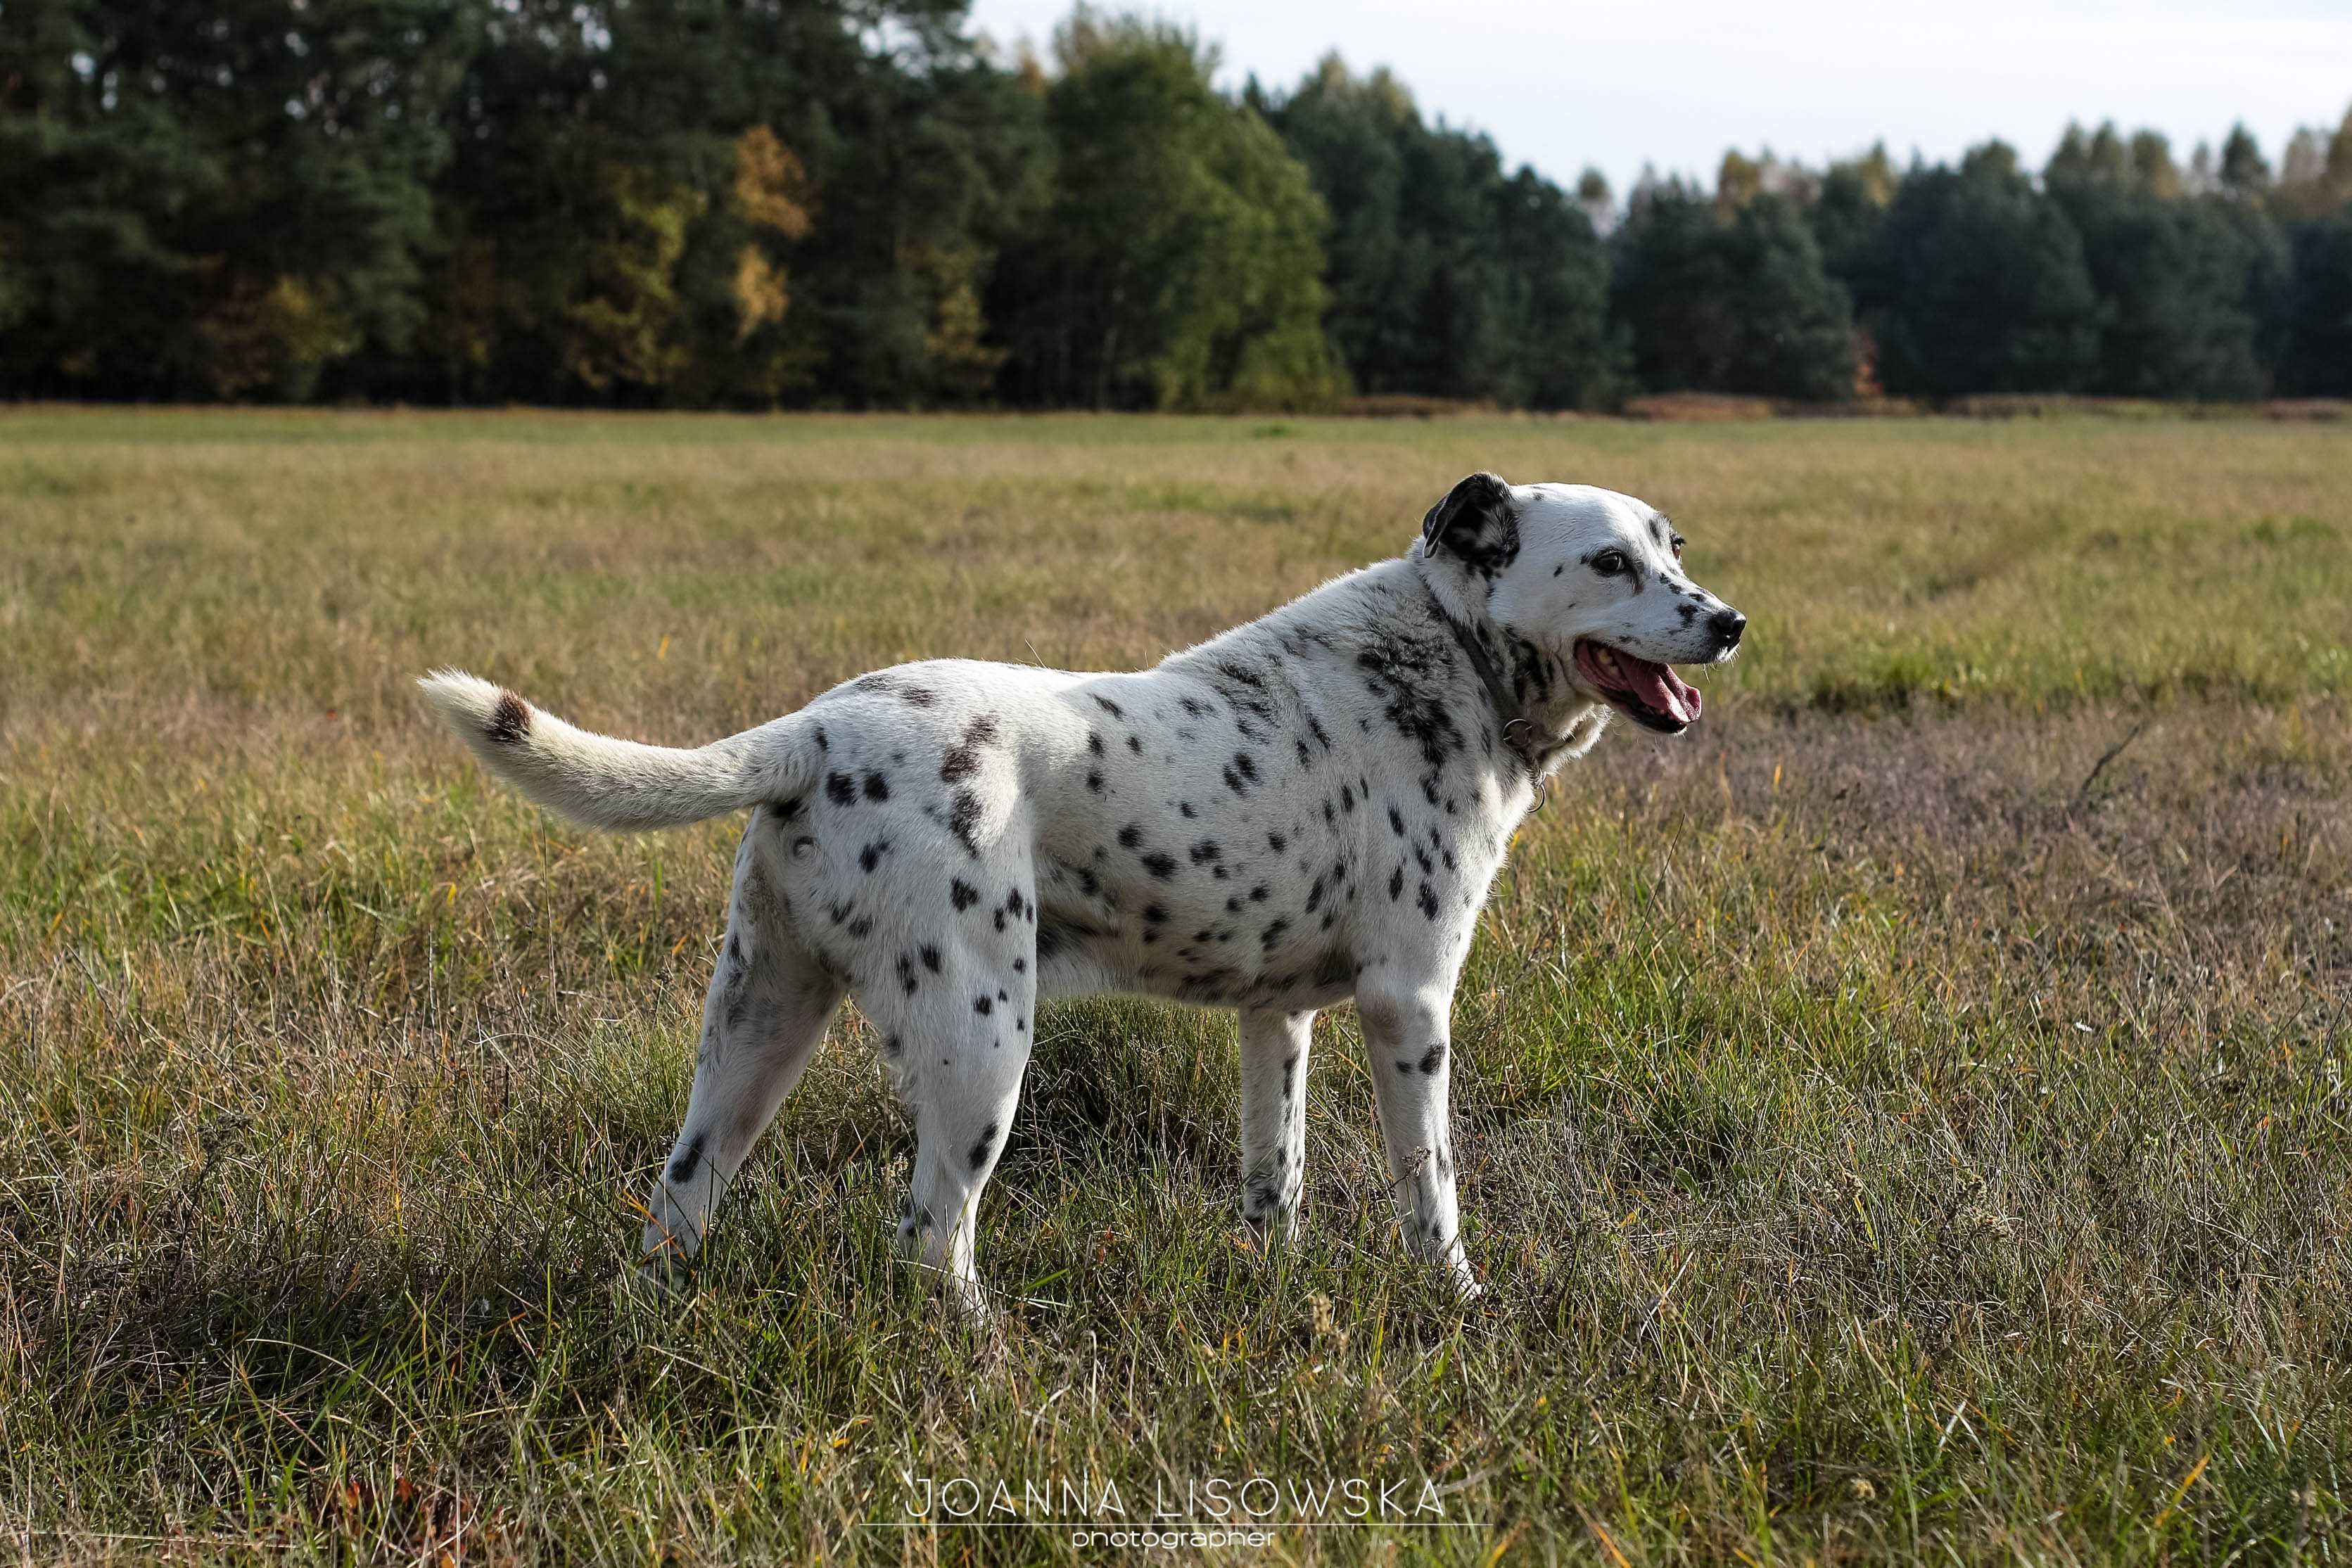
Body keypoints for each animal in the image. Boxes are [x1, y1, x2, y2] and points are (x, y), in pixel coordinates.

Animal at [423, 475, 1750, 1316]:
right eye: (1610, 562)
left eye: (1674, 549)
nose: (1732, 621)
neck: (1447, 654)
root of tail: (815, 726)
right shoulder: (1408, 1007)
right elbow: (1433, 1191)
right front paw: (1459, 1300)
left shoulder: (1278, 1019)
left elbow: (1275, 1177)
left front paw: (1270, 1281)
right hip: (979, 1045)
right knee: (931, 1240)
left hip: (758, 1027)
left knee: (681, 1194)